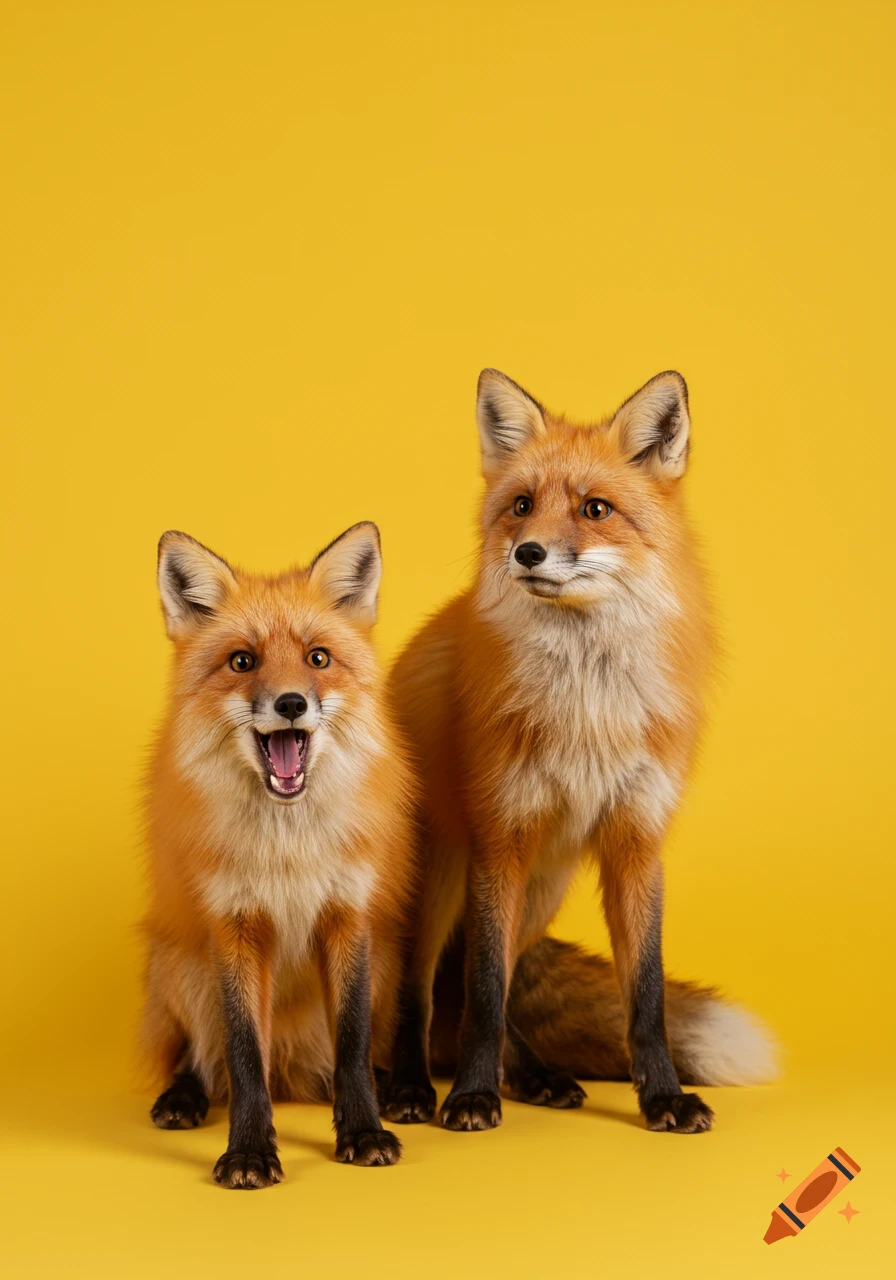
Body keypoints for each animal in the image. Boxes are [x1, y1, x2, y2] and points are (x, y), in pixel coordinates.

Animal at [141, 522, 414, 1187]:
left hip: (389, 963)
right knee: (203, 1056)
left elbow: (352, 1045)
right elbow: (243, 1055)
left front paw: (363, 1131)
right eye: (243, 661)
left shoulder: (348, 916)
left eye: (318, 658)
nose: (291, 703)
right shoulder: (235, 926)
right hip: (181, 965)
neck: (288, 849)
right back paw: (182, 1095)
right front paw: (248, 1151)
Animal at [380, 369, 776, 1134]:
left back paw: (536, 1077)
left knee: (485, 992)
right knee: (424, 994)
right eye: (522, 507)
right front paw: (470, 1097)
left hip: (542, 891)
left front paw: (664, 1098)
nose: (527, 553)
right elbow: (481, 994)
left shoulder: (636, 842)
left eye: (596, 509)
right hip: (440, 881)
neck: (586, 707)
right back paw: (413, 1086)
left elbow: (644, 997)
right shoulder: (499, 841)